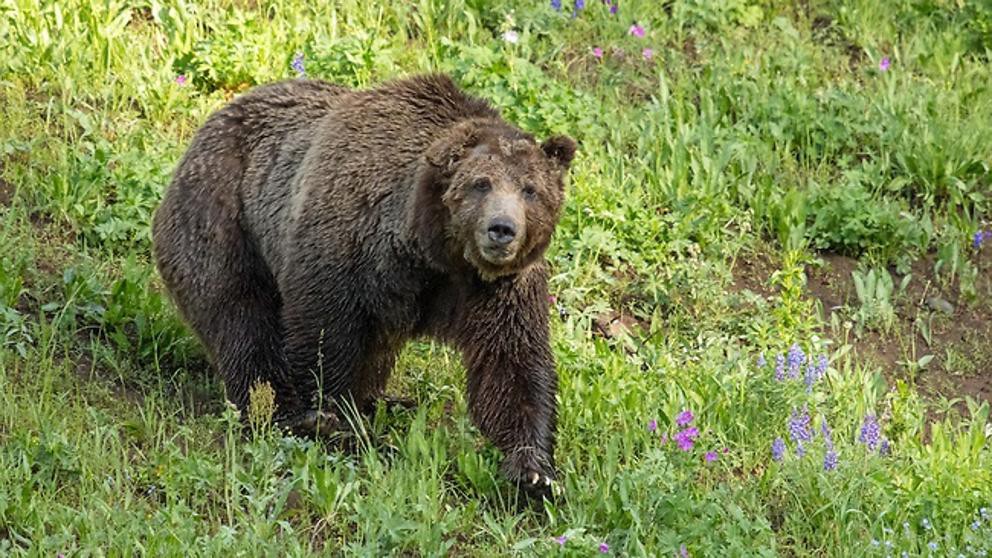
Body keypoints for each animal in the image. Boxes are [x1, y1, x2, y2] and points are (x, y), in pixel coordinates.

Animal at [151, 74, 576, 499]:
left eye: (530, 189)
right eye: (480, 184)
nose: (502, 229)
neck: (431, 250)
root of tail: (217, 118)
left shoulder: (496, 289)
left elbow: (512, 362)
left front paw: (534, 471)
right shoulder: (347, 242)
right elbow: (324, 331)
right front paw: (330, 420)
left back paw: (383, 399)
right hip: (223, 214)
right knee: (240, 317)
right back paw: (276, 407)